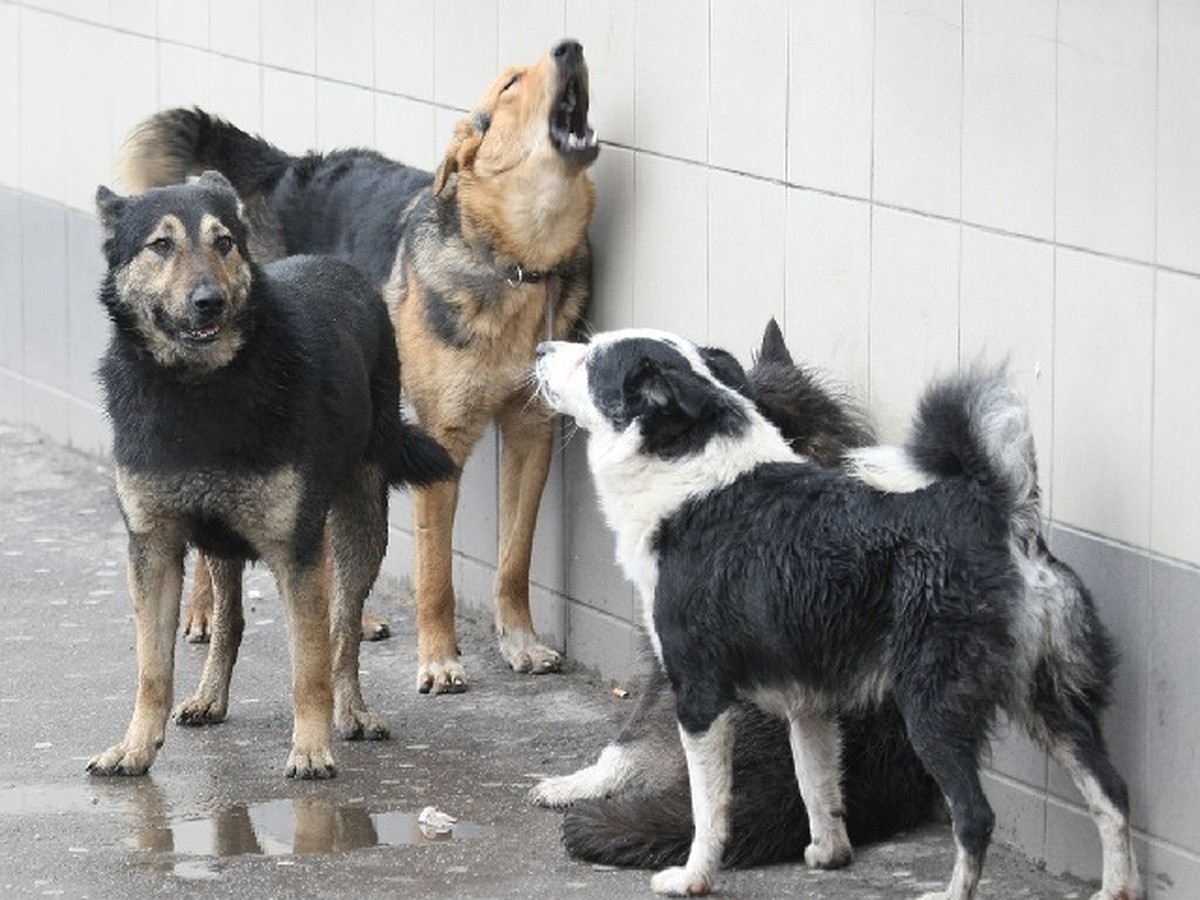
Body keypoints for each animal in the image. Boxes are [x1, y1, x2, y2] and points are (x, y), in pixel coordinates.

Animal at [87, 172, 453, 777]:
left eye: (224, 242)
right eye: (161, 245)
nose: (208, 302)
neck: (199, 390)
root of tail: (339, 266)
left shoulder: (296, 552)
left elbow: (310, 665)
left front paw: (311, 747)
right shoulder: (153, 549)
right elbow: (152, 668)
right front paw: (136, 747)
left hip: (358, 526)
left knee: (343, 629)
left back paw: (351, 712)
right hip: (221, 540)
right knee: (230, 619)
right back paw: (210, 696)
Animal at [121, 38, 600, 696]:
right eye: (509, 84)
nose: (570, 47)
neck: (516, 263)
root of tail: (285, 167)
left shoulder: (532, 434)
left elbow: (514, 559)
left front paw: (520, 642)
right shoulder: (444, 439)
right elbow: (435, 572)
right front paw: (440, 659)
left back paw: (348, 613)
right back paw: (202, 610)